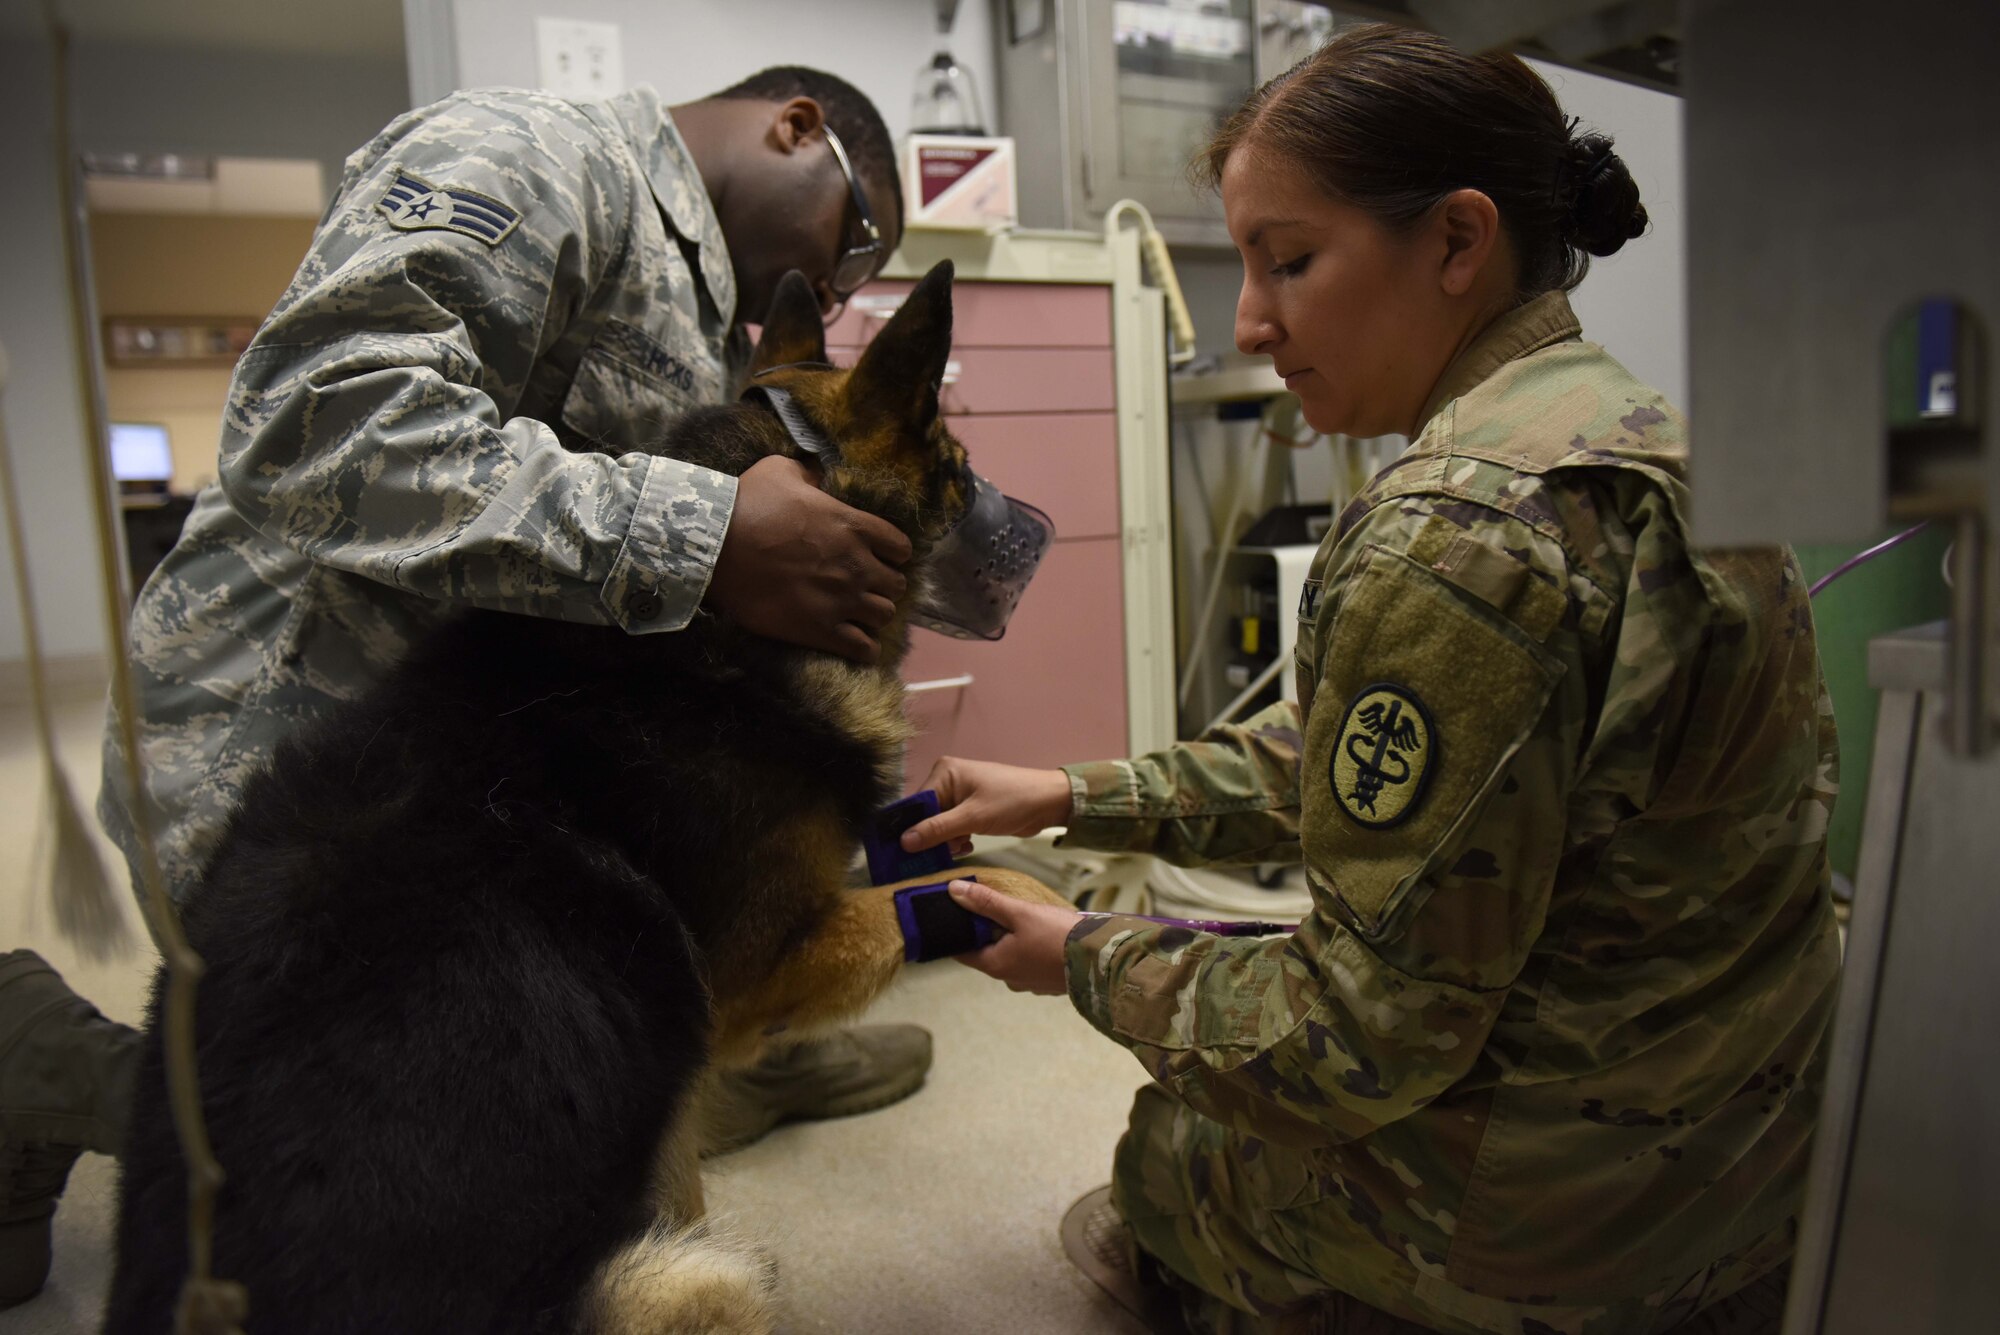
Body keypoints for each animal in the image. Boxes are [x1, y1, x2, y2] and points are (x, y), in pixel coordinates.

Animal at [101, 263, 1072, 1335]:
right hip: (688, 1286)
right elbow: (976, 884)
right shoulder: (759, 974)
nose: (1045, 530)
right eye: (959, 468)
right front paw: (1062, 918)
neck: (725, 625)